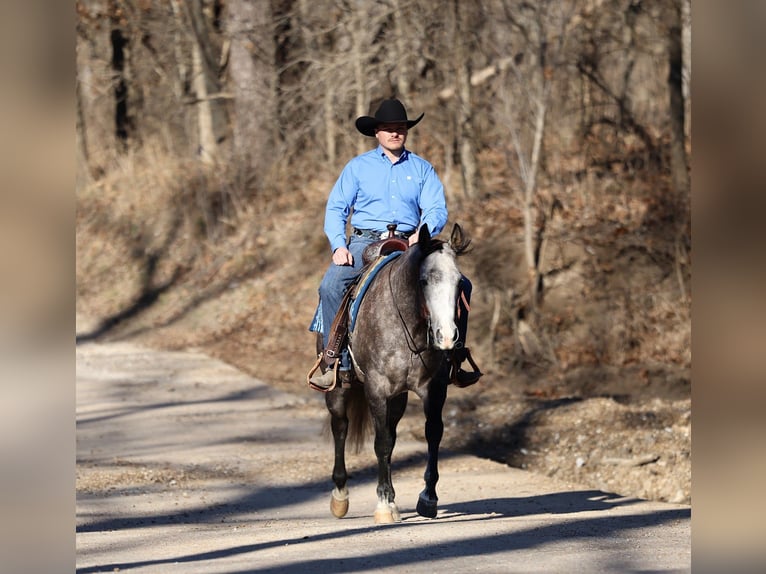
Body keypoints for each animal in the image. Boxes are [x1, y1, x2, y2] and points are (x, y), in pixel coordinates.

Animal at [322, 222, 471, 524]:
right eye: (423, 281)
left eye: (459, 282)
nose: (447, 337)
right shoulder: (376, 390)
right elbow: (381, 443)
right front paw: (383, 505)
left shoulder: (434, 389)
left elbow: (432, 434)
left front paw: (428, 498)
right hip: (339, 389)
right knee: (341, 427)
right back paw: (340, 496)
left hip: (398, 398)